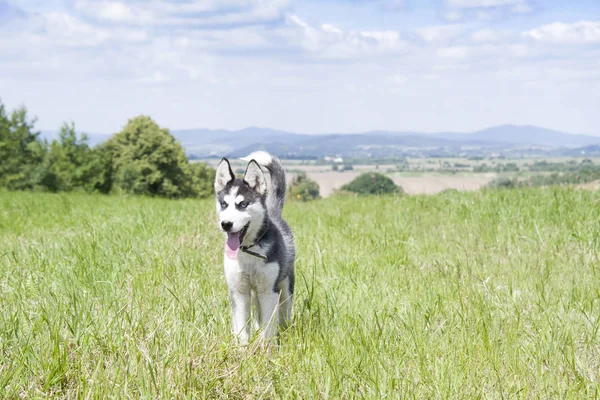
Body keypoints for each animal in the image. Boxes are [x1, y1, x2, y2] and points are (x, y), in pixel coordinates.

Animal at [213, 152, 296, 346]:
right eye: (224, 204)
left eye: (243, 204)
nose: (226, 224)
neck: (248, 250)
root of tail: (274, 213)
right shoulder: (238, 291)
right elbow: (242, 329)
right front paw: (242, 349)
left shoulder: (268, 290)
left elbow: (268, 327)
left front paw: (267, 349)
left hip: (285, 284)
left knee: (285, 310)